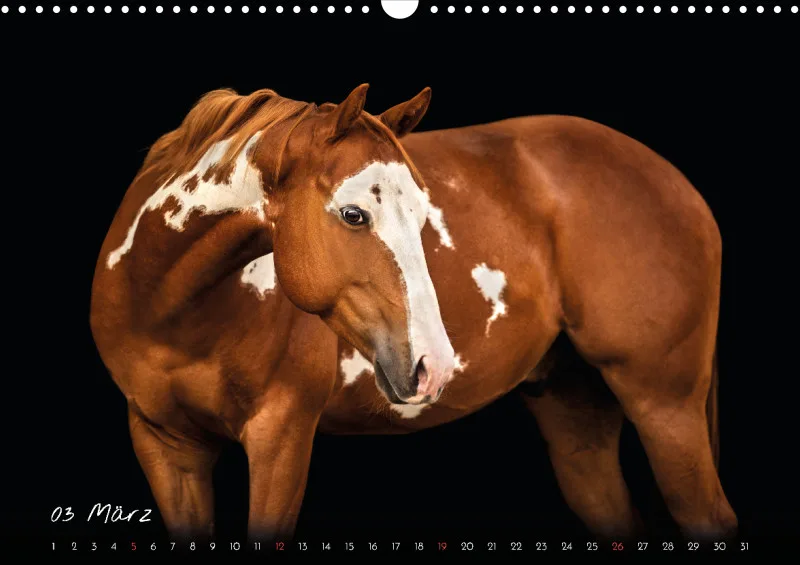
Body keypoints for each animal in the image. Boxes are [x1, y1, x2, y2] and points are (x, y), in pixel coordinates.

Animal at [90, 84, 737, 543]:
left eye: (426, 213)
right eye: (353, 214)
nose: (435, 367)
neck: (173, 313)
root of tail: (678, 184)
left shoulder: (281, 436)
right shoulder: (165, 446)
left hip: (665, 405)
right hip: (576, 414)